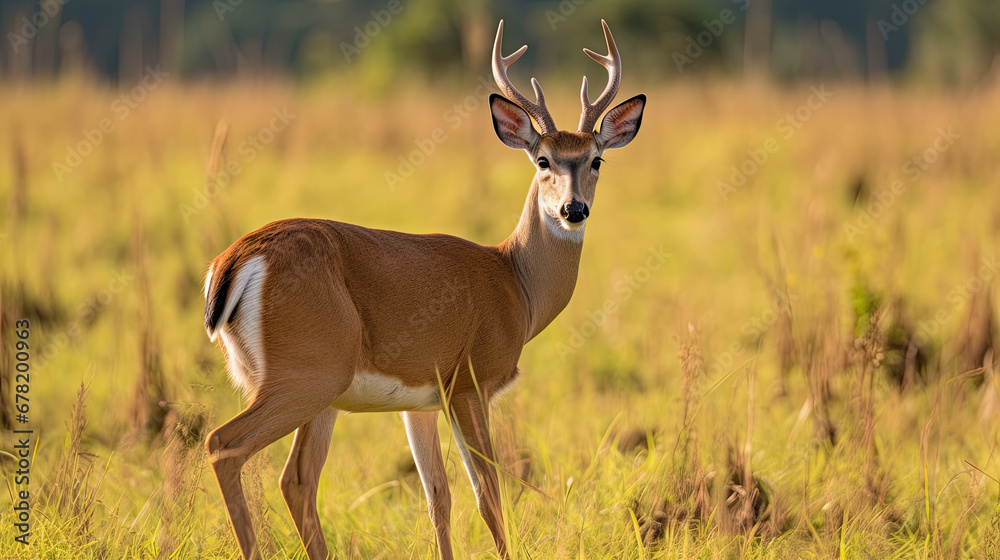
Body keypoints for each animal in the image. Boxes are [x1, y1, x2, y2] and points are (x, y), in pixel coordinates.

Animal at [201, 18, 648, 560]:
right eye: (543, 160)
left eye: (596, 160)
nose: (573, 209)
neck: (515, 282)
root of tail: (233, 259)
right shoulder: (470, 381)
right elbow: (488, 494)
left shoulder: (419, 403)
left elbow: (439, 497)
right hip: (307, 372)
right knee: (225, 446)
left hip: (319, 389)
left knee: (297, 479)